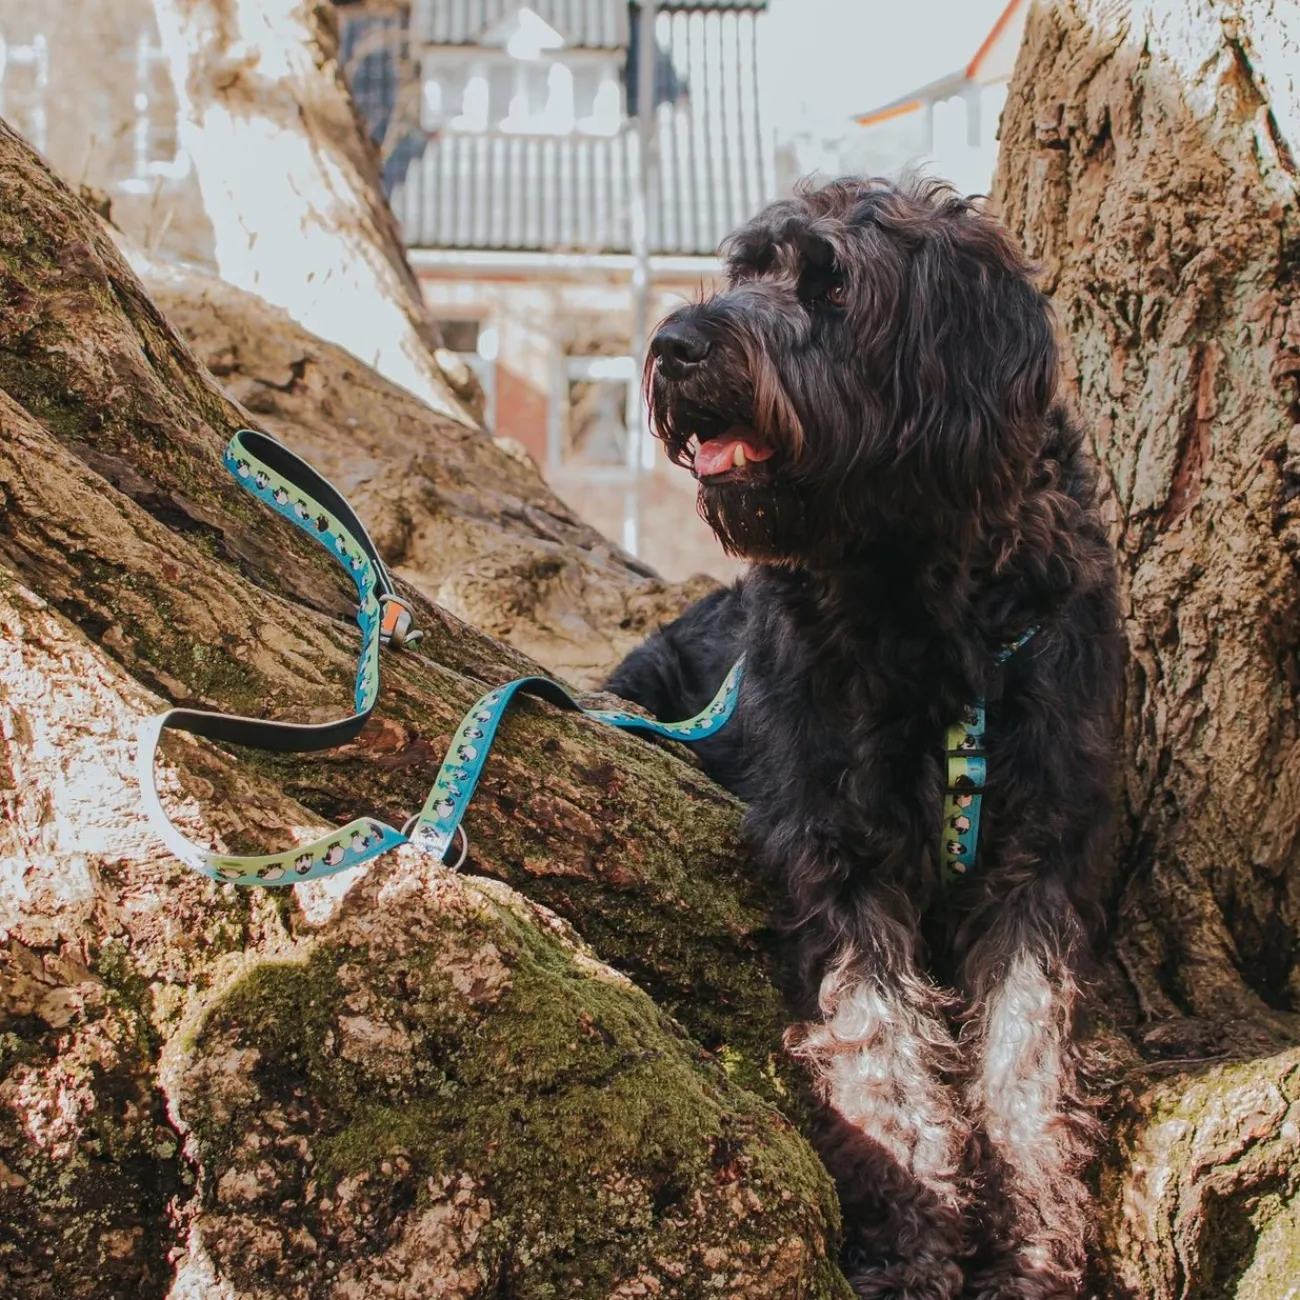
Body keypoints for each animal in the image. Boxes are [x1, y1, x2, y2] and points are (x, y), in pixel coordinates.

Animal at [603, 180, 1123, 1300]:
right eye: (745, 270)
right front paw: (914, 1243)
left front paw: (1030, 1250)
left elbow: (1025, 1064)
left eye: (831, 286)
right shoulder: (835, 848)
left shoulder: (1039, 857)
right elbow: (882, 1057)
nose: (672, 344)